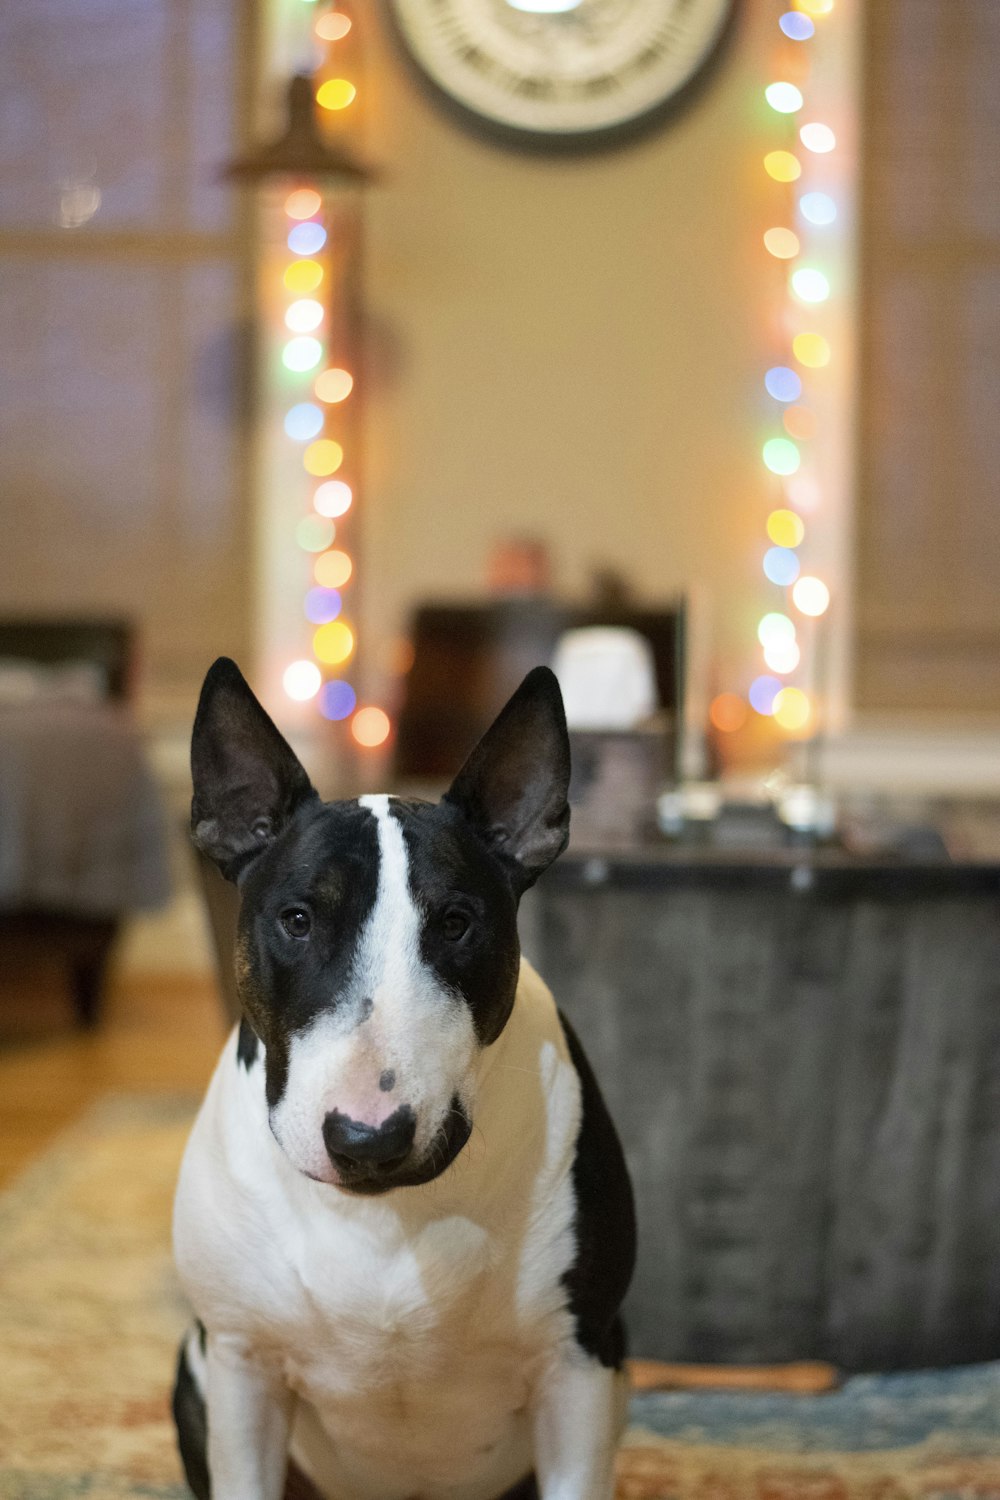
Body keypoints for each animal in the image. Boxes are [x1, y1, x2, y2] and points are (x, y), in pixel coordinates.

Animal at [173, 657, 632, 1500]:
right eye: (297, 919)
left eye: (455, 923)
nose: (367, 1141)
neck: (384, 1216)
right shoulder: (242, 1363)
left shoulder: (578, 1367)